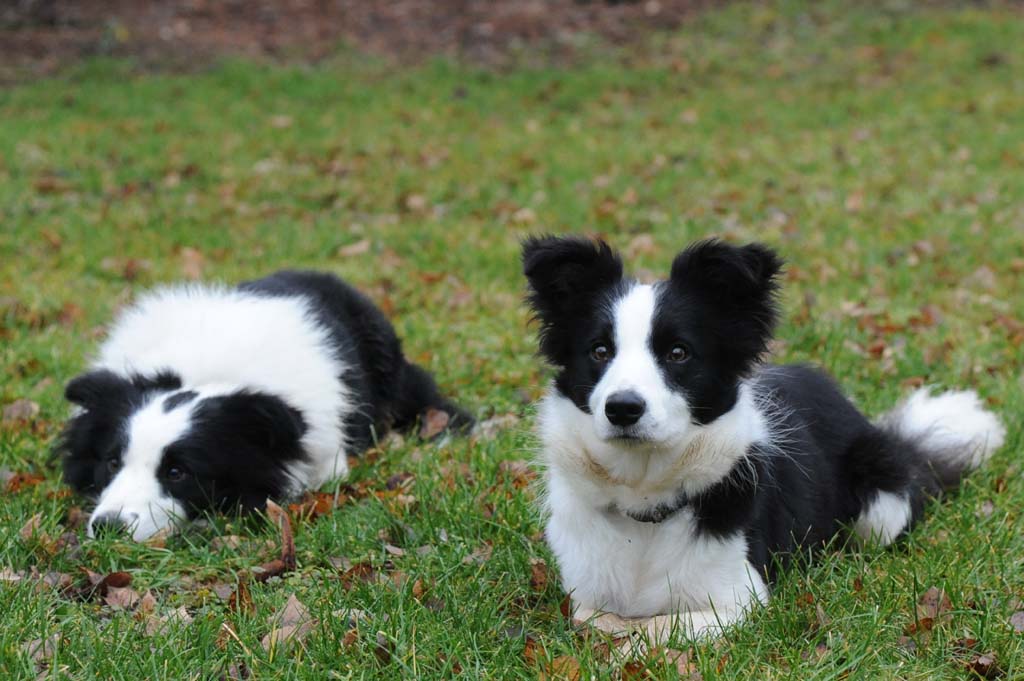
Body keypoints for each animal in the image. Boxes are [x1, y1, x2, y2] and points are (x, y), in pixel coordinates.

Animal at [524, 236, 1003, 639]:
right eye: (599, 351)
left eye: (678, 352)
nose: (623, 408)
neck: (644, 503)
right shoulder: (584, 593)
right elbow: (599, 620)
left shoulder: (739, 598)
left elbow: (656, 627)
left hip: (882, 505)